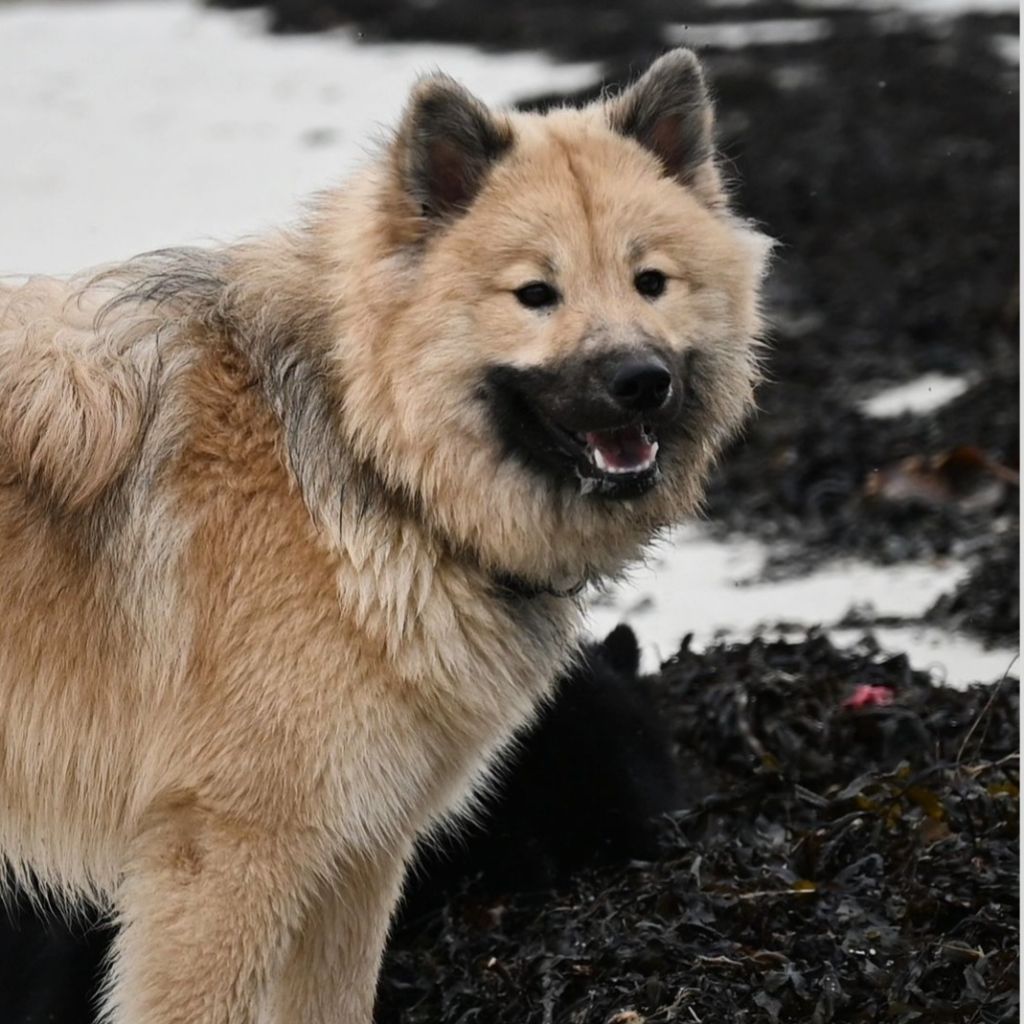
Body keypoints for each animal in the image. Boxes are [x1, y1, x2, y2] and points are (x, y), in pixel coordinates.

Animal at [0, 49, 770, 1024]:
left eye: (651, 281)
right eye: (536, 293)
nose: (641, 380)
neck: (364, 456)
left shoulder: (355, 856)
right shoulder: (224, 855)